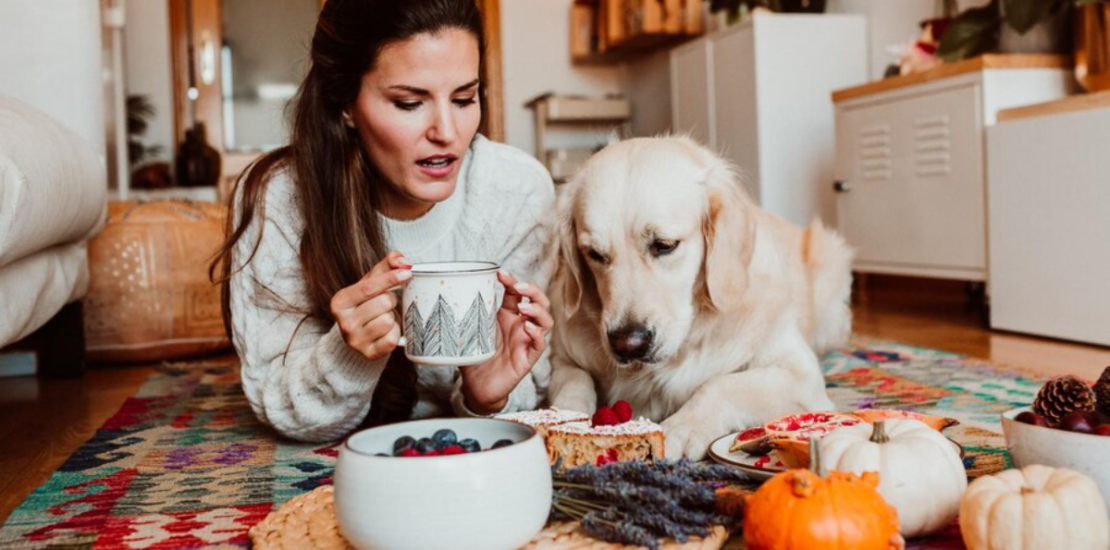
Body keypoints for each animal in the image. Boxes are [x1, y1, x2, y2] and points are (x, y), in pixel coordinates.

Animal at [550, 135, 852, 457]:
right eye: (594, 254)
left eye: (665, 245)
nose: (628, 344)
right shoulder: (562, 358)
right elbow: (575, 380)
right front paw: (562, 416)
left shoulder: (800, 374)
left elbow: (721, 384)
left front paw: (683, 427)